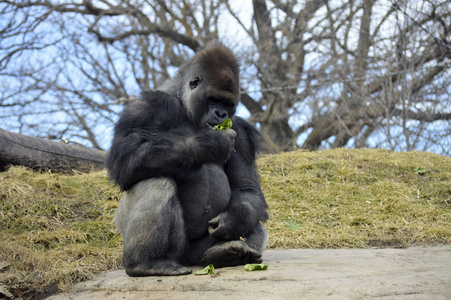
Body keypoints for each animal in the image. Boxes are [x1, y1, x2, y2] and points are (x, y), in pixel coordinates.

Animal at [106, 42, 268, 276]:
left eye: (227, 104)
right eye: (213, 99)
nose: (221, 115)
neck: (185, 106)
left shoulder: (240, 131)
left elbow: (248, 190)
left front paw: (234, 219)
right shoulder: (148, 107)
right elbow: (124, 159)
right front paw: (210, 144)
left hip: (196, 253)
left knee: (254, 223)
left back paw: (224, 253)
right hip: (166, 248)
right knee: (156, 181)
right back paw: (145, 263)